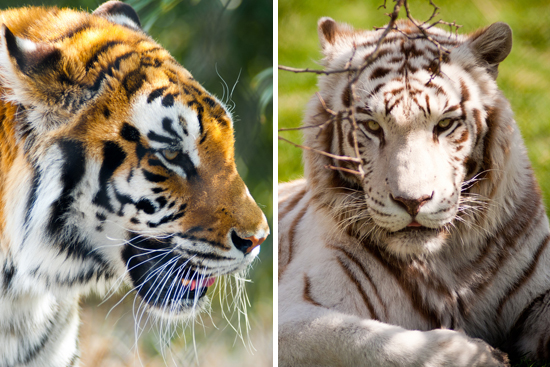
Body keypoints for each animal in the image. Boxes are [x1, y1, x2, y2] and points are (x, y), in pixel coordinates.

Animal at [282, 16, 550, 366]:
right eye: (372, 126)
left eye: (445, 124)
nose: (413, 201)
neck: (443, 262)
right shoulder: (296, 310)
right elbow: (366, 341)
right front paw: (482, 355)